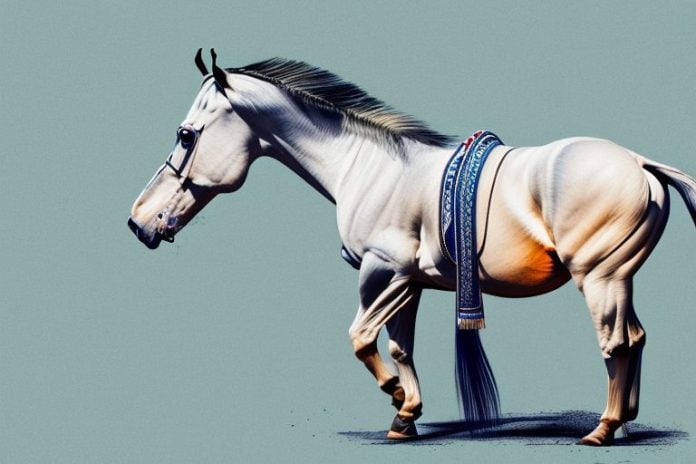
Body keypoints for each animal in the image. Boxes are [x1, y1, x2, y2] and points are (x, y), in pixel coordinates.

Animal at [128, 49, 696, 445]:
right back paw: (624, 424)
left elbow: (360, 338)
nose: (139, 223)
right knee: (635, 339)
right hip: (620, 278)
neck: (370, 167)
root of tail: (642, 163)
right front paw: (405, 417)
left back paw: (601, 430)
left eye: (186, 135)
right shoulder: (410, 282)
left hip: (599, 279)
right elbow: (400, 345)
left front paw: (399, 399)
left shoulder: (384, 273)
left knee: (615, 344)